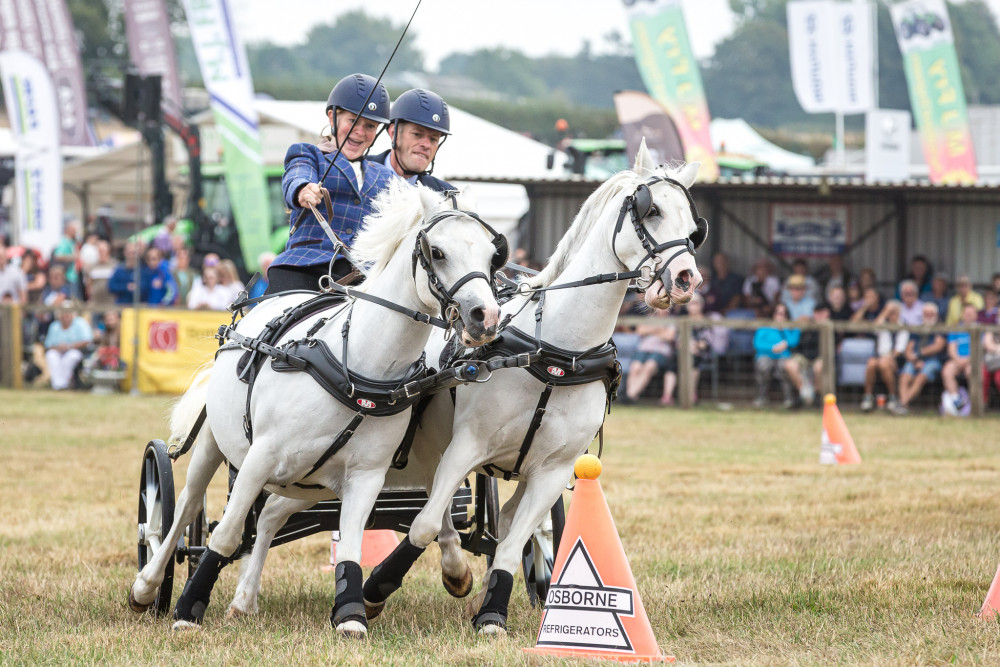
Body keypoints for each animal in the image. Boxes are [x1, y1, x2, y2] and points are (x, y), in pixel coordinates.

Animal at [130, 181, 504, 636]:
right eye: (438, 251)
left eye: (492, 253)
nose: (486, 317)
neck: (356, 366)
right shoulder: (259, 458)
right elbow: (226, 535)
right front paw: (188, 609)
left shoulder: (366, 475)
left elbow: (353, 541)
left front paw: (351, 614)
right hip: (217, 446)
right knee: (184, 508)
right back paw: (147, 584)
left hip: (310, 481)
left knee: (270, 515)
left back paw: (244, 599)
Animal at [360, 140, 704, 632]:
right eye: (651, 210)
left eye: (694, 227)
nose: (686, 280)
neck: (556, 351)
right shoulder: (466, 446)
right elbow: (424, 525)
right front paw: (375, 590)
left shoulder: (554, 471)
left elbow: (511, 541)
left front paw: (492, 613)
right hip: (430, 447)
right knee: (438, 514)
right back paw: (453, 571)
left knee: (497, 521)